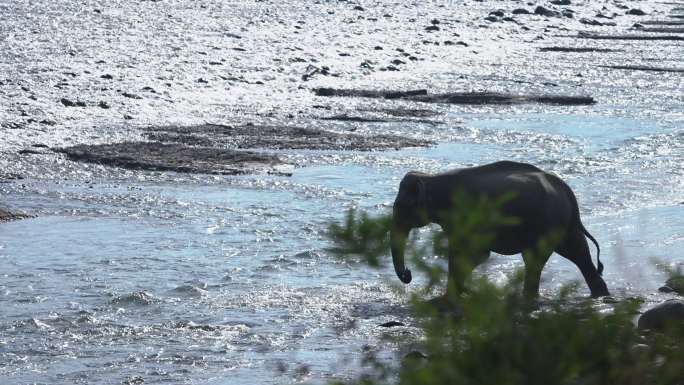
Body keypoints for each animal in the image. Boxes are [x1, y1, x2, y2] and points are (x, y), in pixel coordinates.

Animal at [390, 159, 608, 296]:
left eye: (400, 206)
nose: (408, 274)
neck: (432, 179)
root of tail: (566, 190)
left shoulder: (467, 214)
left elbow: (474, 254)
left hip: (550, 221)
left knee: (540, 258)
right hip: (562, 223)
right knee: (578, 253)